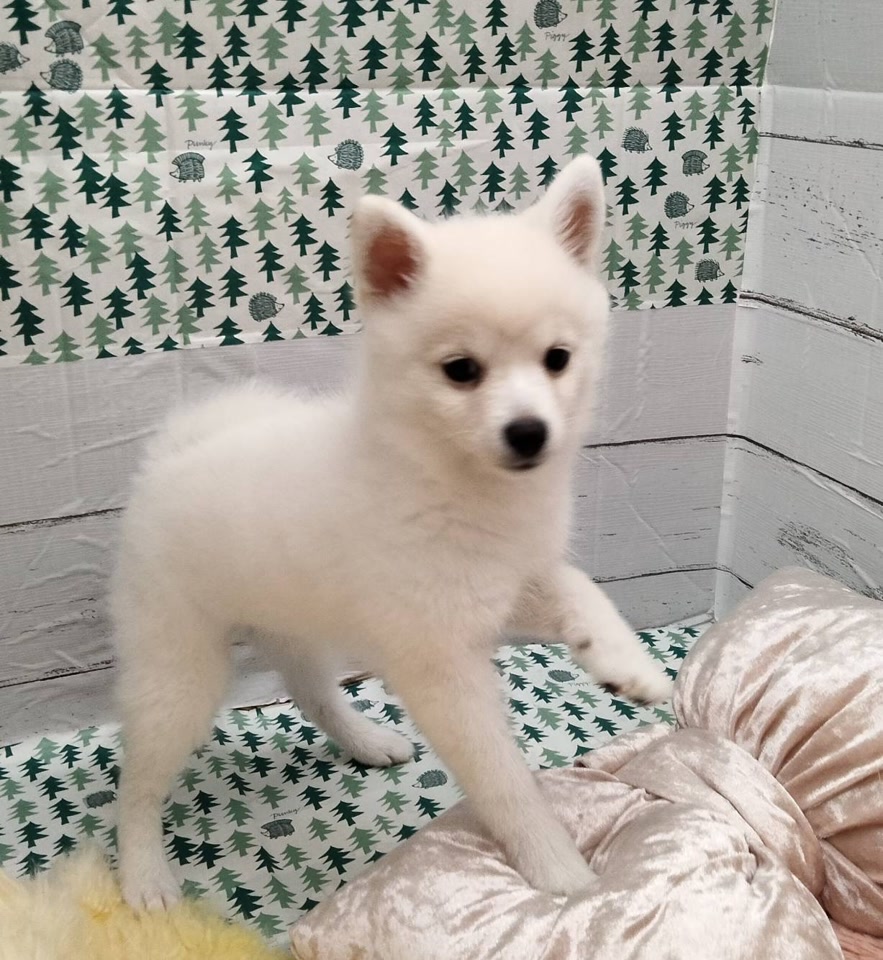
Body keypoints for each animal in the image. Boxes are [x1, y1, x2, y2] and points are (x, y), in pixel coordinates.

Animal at [111, 155, 672, 911]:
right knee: (137, 781)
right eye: (461, 371)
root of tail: (170, 456)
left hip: (295, 622)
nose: (529, 432)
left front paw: (623, 659)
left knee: (313, 692)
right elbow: (504, 781)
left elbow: (579, 587)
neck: (453, 480)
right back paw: (143, 872)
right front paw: (556, 868)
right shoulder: (441, 659)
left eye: (557, 358)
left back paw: (364, 739)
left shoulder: (506, 580)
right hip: (178, 668)